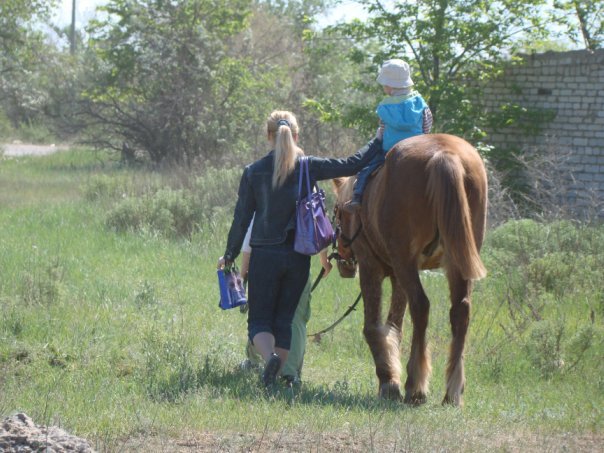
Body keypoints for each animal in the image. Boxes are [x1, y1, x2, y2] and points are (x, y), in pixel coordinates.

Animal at [332, 132, 488, 404]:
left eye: (338, 213)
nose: (344, 263)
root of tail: (443, 154)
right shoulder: (398, 276)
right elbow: (394, 327)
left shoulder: (373, 268)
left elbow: (374, 327)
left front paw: (389, 381)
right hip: (455, 263)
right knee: (460, 310)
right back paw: (452, 391)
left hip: (405, 261)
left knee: (421, 305)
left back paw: (415, 385)